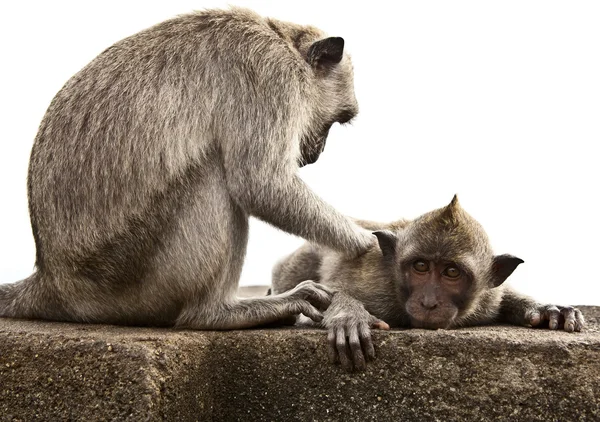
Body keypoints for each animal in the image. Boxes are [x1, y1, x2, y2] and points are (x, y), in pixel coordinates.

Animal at [2, 8, 372, 328]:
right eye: (334, 122)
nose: (317, 153)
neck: (280, 39)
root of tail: (53, 280)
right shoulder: (270, 75)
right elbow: (260, 184)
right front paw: (367, 243)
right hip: (130, 279)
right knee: (214, 175)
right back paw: (216, 313)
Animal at [272, 196, 584, 370]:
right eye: (420, 266)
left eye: (452, 272)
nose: (429, 302)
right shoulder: (376, 287)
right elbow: (326, 292)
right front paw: (348, 315)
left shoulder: (486, 299)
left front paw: (546, 309)